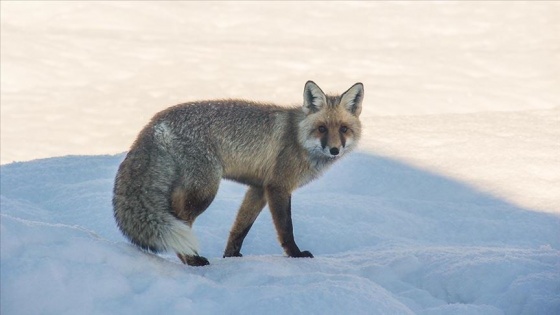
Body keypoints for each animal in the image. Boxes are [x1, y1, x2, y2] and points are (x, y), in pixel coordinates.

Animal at [113, 81, 366, 266]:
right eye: (322, 128)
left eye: (343, 129)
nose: (334, 150)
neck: (297, 137)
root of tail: (155, 121)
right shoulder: (278, 187)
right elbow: (286, 228)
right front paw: (295, 255)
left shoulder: (258, 188)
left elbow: (240, 228)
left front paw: (231, 258)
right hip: (204, 191)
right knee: (181, 220)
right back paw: (192, 260)